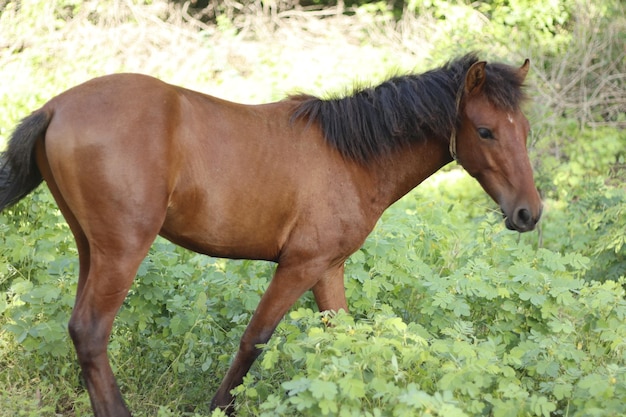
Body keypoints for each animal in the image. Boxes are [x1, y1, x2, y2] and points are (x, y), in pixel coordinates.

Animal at [0, 53, 536, 414]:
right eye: (485, 131)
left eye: (525, 130)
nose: (528, 213)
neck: (352, 156)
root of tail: (56, 108)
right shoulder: (299, 265)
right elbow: (254, 340)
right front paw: (219, 406)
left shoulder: (328, 270)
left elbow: (345, 341)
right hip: (122, 251)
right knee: (92, 332)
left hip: (90, 248)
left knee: (80, 333)